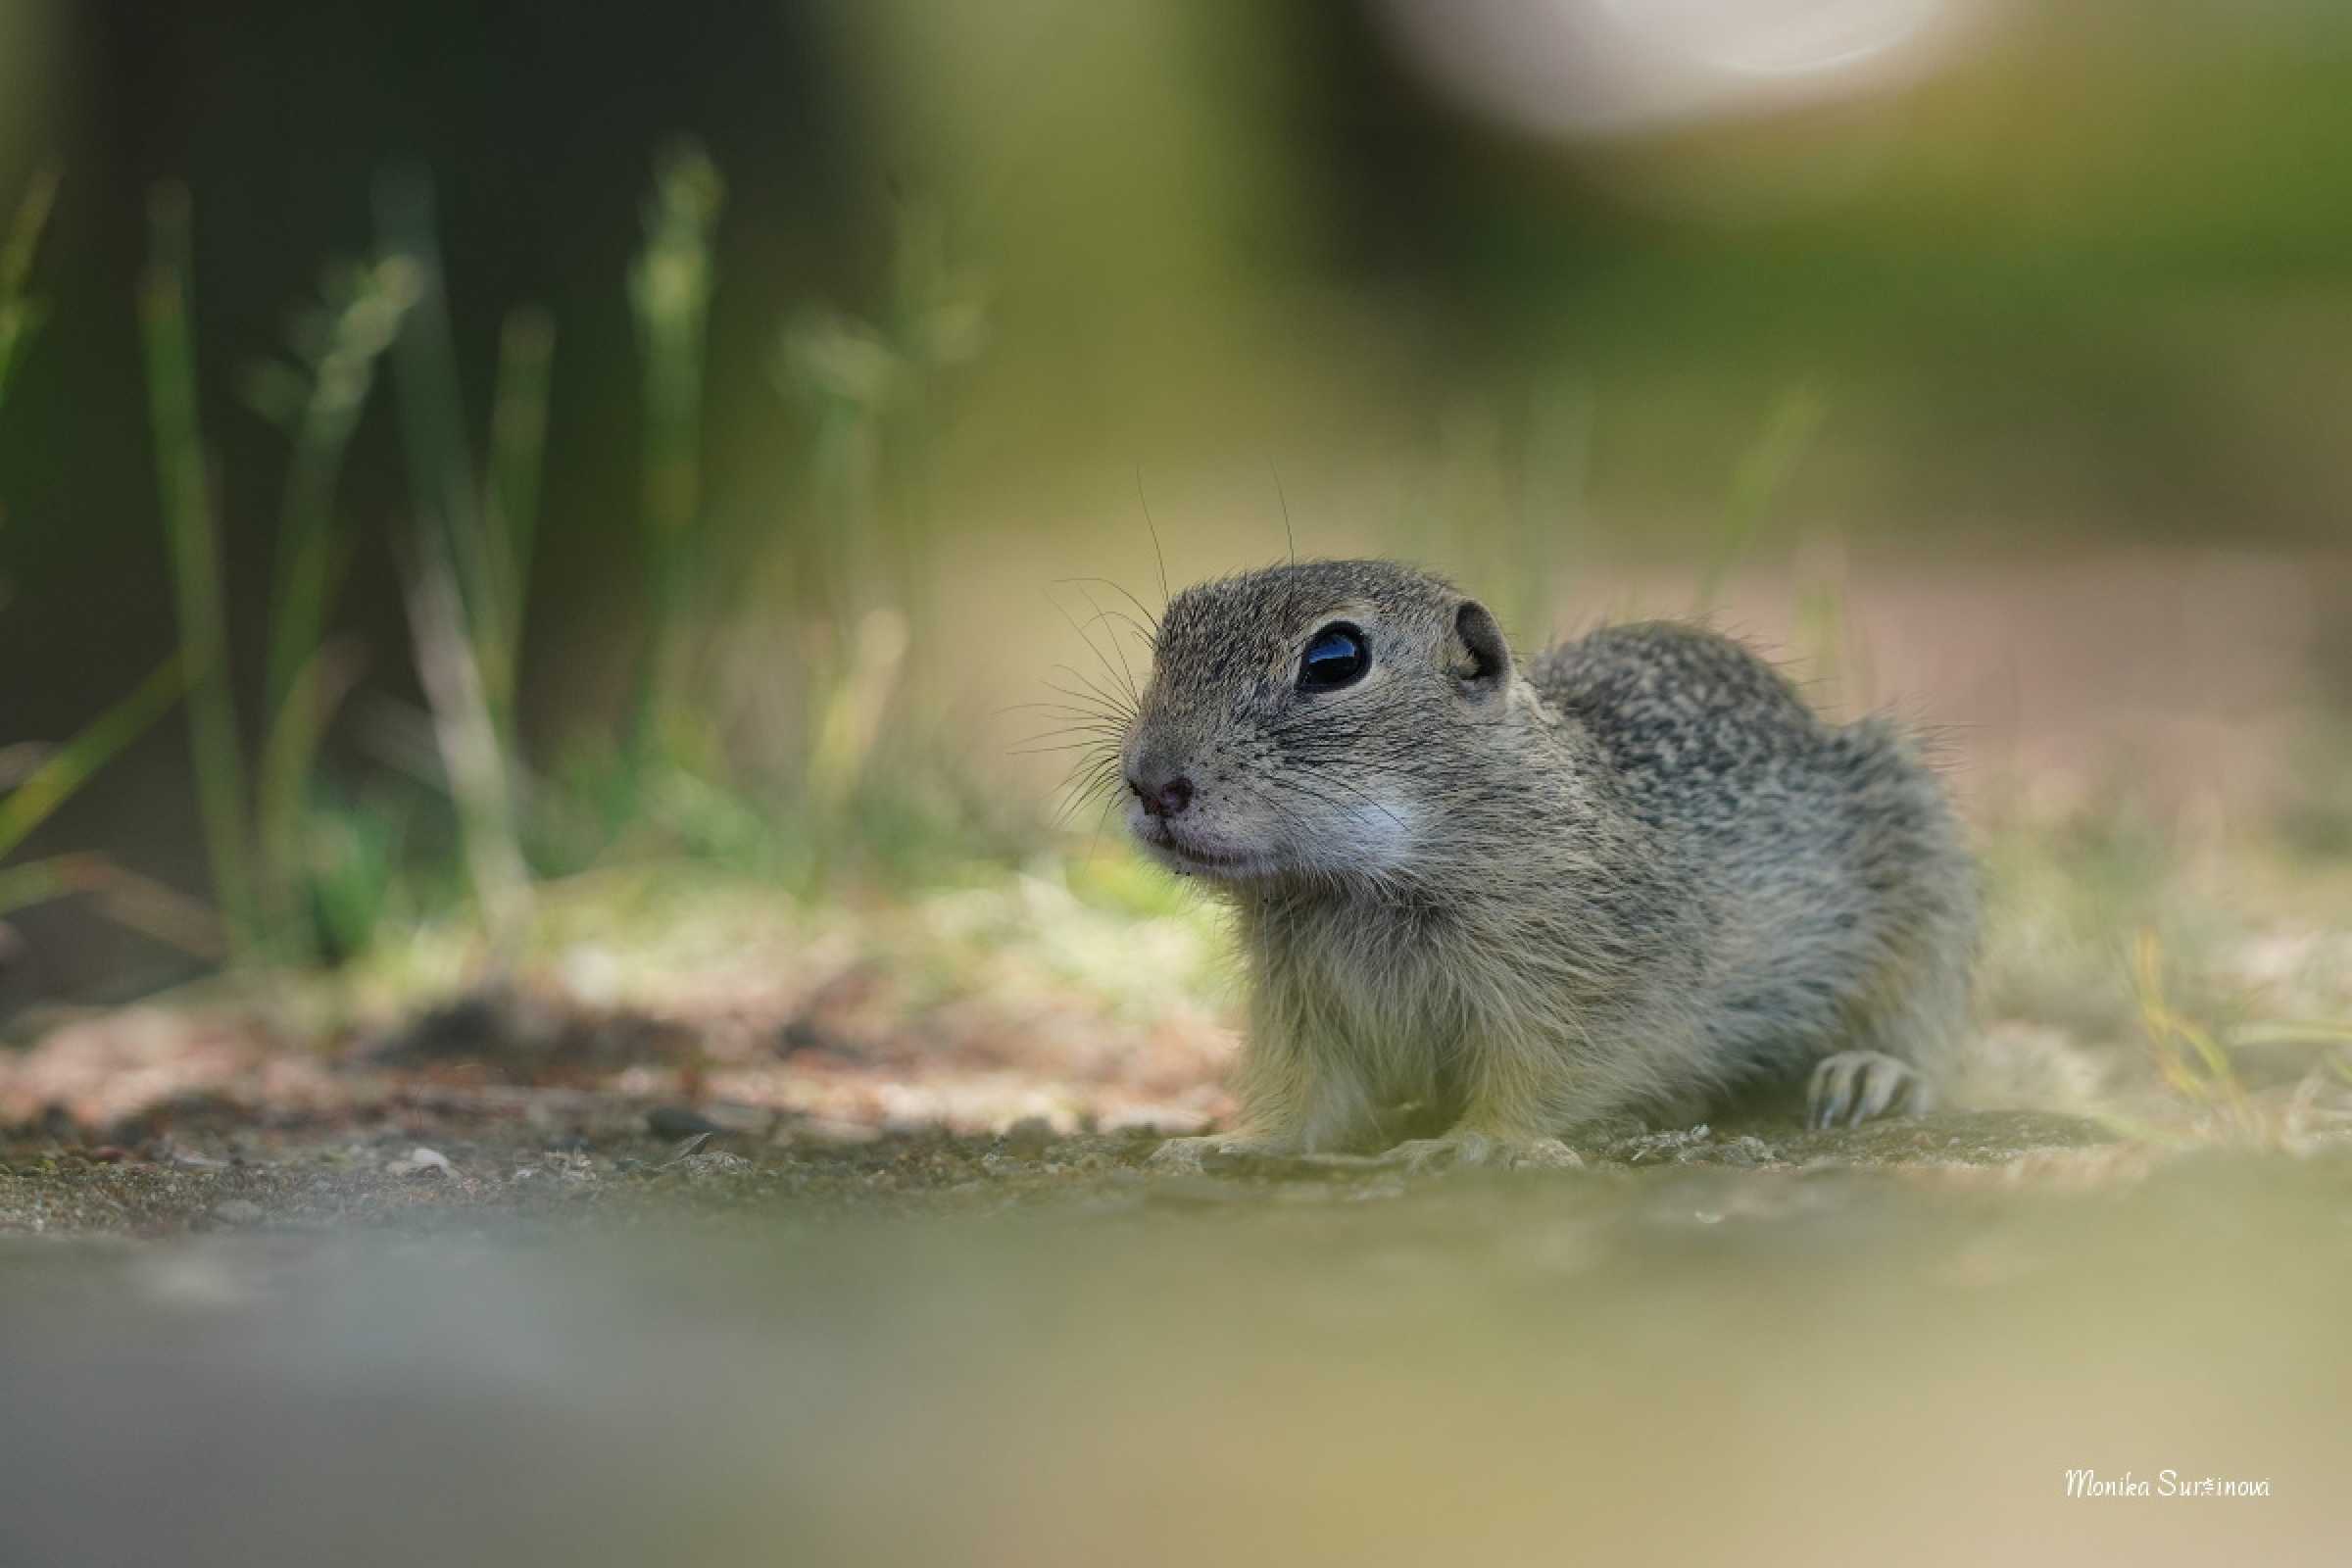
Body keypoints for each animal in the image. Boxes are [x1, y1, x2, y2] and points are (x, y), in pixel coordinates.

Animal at [1109, 562, 1976, 1165]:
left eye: (1335, 657)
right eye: (1169, 637)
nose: (1152, 783)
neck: (1353, 884)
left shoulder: (1592, 979)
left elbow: (1546, 1070)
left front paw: (1484, 1140)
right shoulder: (1300, 998)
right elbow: (1307, 1091)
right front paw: (1241, 1141)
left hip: (1920, 870)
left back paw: (1869, 1074)